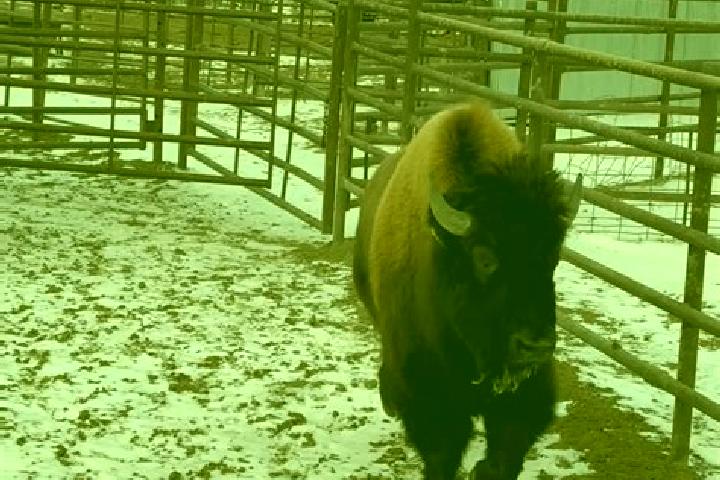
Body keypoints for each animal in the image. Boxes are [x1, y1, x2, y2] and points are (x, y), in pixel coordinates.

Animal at [352, 101, 582, 480]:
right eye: (484, 258)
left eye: (552, 256)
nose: (534, 346)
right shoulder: (431, 400)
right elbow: (442, 453)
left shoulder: (525, 396)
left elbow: (506, 451)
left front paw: (483, 469)